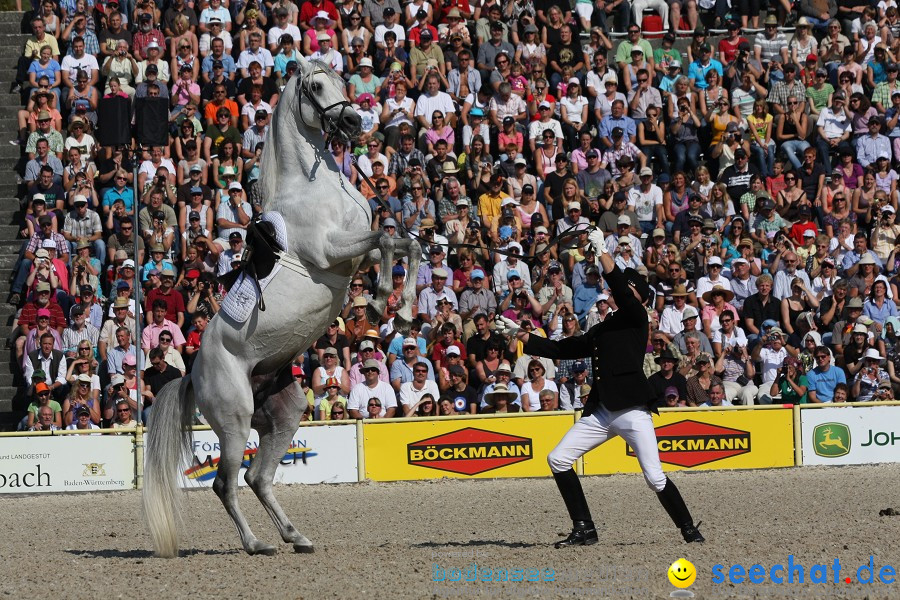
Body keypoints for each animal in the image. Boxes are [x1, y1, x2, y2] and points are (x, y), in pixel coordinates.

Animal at [142, 56, 422, 556]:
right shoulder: (332, 251)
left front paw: (402, 307)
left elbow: (403, 243)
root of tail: (193, 371)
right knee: (227, 483)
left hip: (283, 413)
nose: (354, 122)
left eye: (342, 80)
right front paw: (380, 304)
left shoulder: (354, 256)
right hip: (235, 422)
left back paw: (296, 536)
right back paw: (257, 543)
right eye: (316, 86)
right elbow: (390, 239)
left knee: (258, 476)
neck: (316, 185)